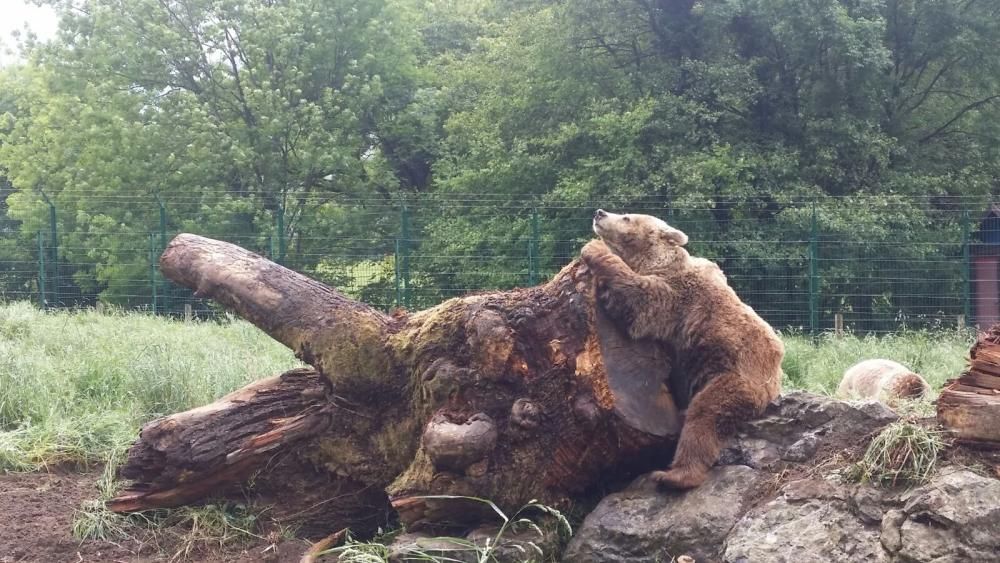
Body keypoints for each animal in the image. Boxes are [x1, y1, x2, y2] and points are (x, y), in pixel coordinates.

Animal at [584, 209, 784, 492]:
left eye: (626, 217)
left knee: (704, 417)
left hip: (733, 377)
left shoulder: (674, 297)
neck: (653, 260)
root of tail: (775, 381)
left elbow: (637, 302)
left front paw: (593, 248)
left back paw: (673, 475)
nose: (599, 213)